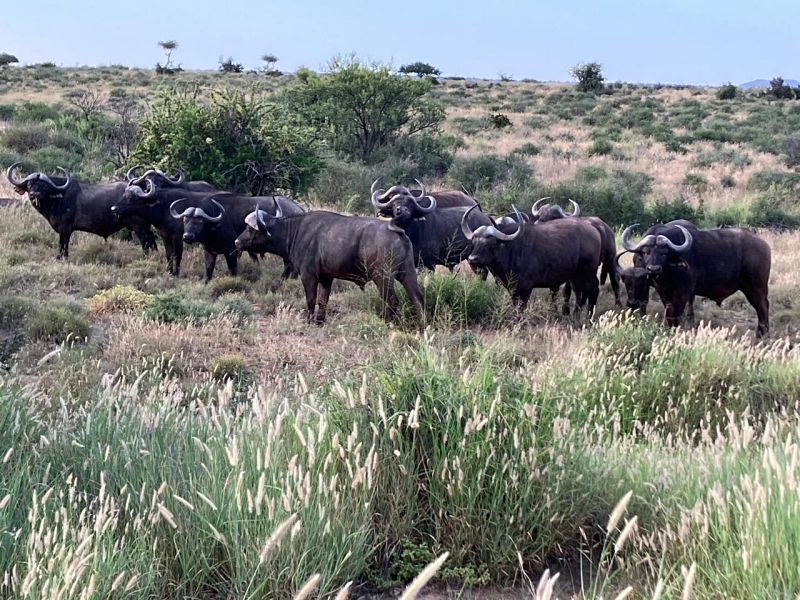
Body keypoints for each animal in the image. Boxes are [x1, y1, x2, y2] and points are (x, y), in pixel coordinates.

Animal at [6, 162, 157, 259]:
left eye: (44, 186)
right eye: (30, 184)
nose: (34, 195)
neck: (58, 198)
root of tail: (144, 189)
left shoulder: (65, 229)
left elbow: (63, 245)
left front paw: (61, 257)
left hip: (139, 226)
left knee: (146, 240)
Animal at [234, 206, 423, 323]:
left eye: (250, 229)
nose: (236, 242)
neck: (295, 231)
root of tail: (398, 232)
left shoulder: (309, 275)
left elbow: (311, 299)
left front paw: (309, 320)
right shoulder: (326, 278)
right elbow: (323, 300)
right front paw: (320, 320)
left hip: (383, 277)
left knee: (392, 301)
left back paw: (386, 322)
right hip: (408, 274)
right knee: (417, 299)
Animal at [462, 206, 602, 314]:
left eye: (491, 244)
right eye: (474, 242)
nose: (472, 259)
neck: (511, 251)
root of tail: (594, 231)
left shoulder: (526, 287)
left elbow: (521, 307)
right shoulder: (512, 288)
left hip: (589, 271)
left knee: (594, 289)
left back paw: (588, 316)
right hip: (576, 275)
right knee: (580, 292)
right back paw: (575, 315)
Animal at [616, 220, 770, 336]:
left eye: (664, 253)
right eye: (646, 252)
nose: (653, 269)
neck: (669, 272)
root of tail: (764, 246)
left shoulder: (683, 294)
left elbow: (677, 314)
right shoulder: (664, 293)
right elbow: (669, 313)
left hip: (756, 288)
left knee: (762, 307)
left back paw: (762, 334)